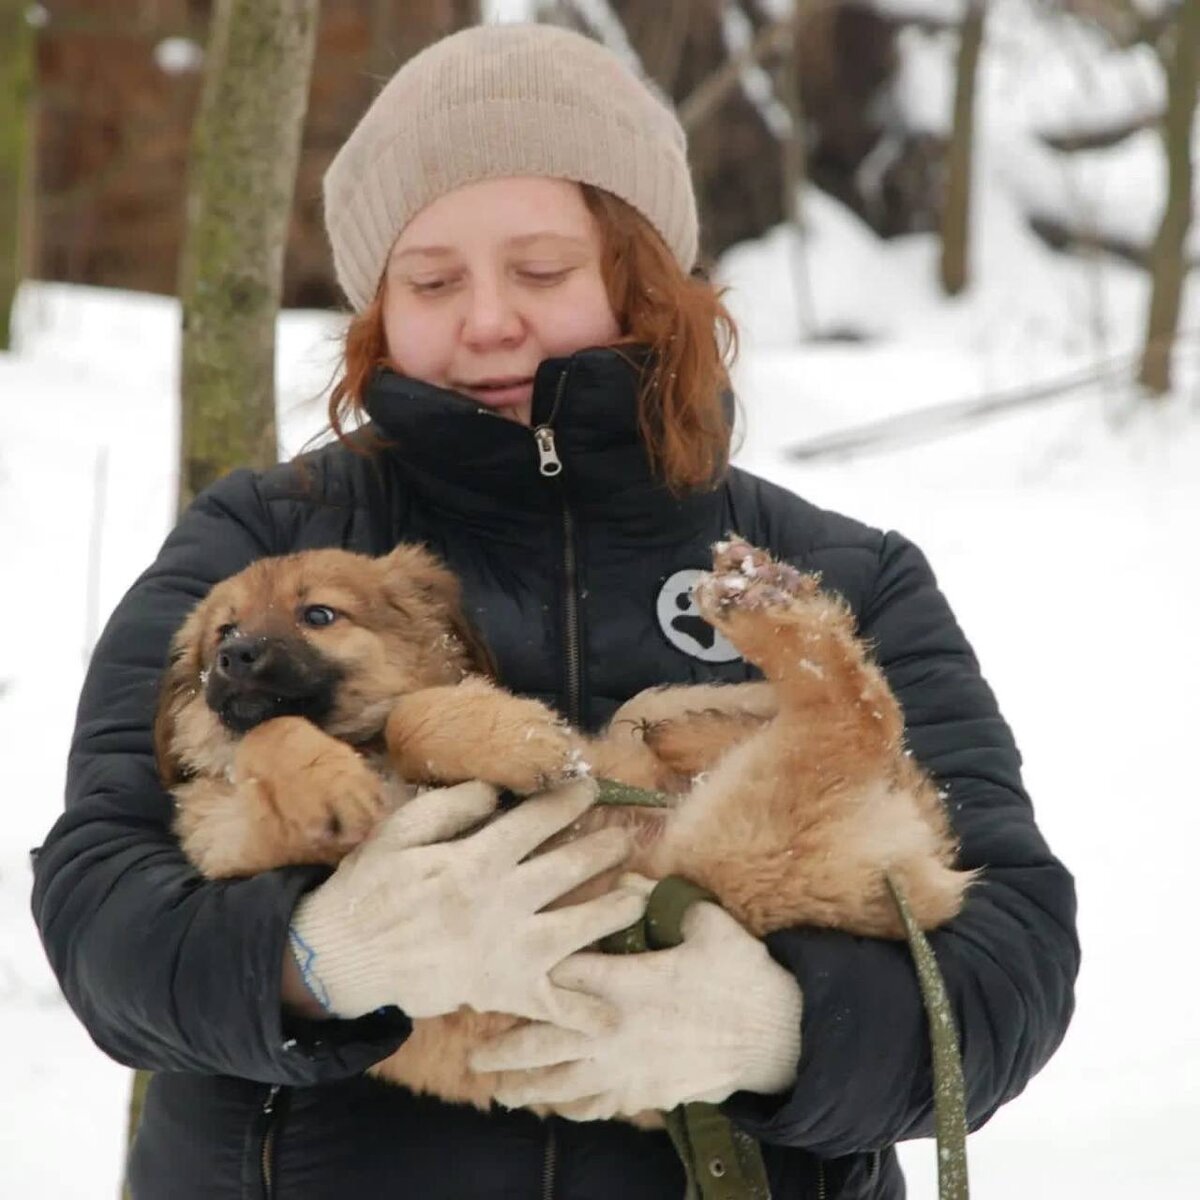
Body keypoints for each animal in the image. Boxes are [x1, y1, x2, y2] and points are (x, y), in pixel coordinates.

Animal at [157, 540, 974, 1108]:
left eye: (319, 615)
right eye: (223, 630)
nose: (233, 658)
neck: (361, 747)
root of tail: (923, 876)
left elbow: (411, 716)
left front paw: (515, 738)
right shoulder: (247, 839)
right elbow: (267, 741)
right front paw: (328, 784)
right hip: (747, 829)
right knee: (856, 715)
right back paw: (761, 605)